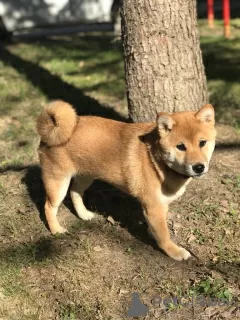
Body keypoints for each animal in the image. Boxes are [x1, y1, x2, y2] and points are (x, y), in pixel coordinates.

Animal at [36, 101, 217, 262]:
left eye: (202, 143)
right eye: (181, 147)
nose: (199, 167)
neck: (159, 161)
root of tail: (50, 131)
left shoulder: (160, 204)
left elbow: (159, 226)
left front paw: (152, 232)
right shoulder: (153, 206)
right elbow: (164, 235)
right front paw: (174, 251)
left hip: (85, 176)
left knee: (75, 192)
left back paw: (84, 214)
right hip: (58, 183)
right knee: (49, 206)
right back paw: (56, 230)